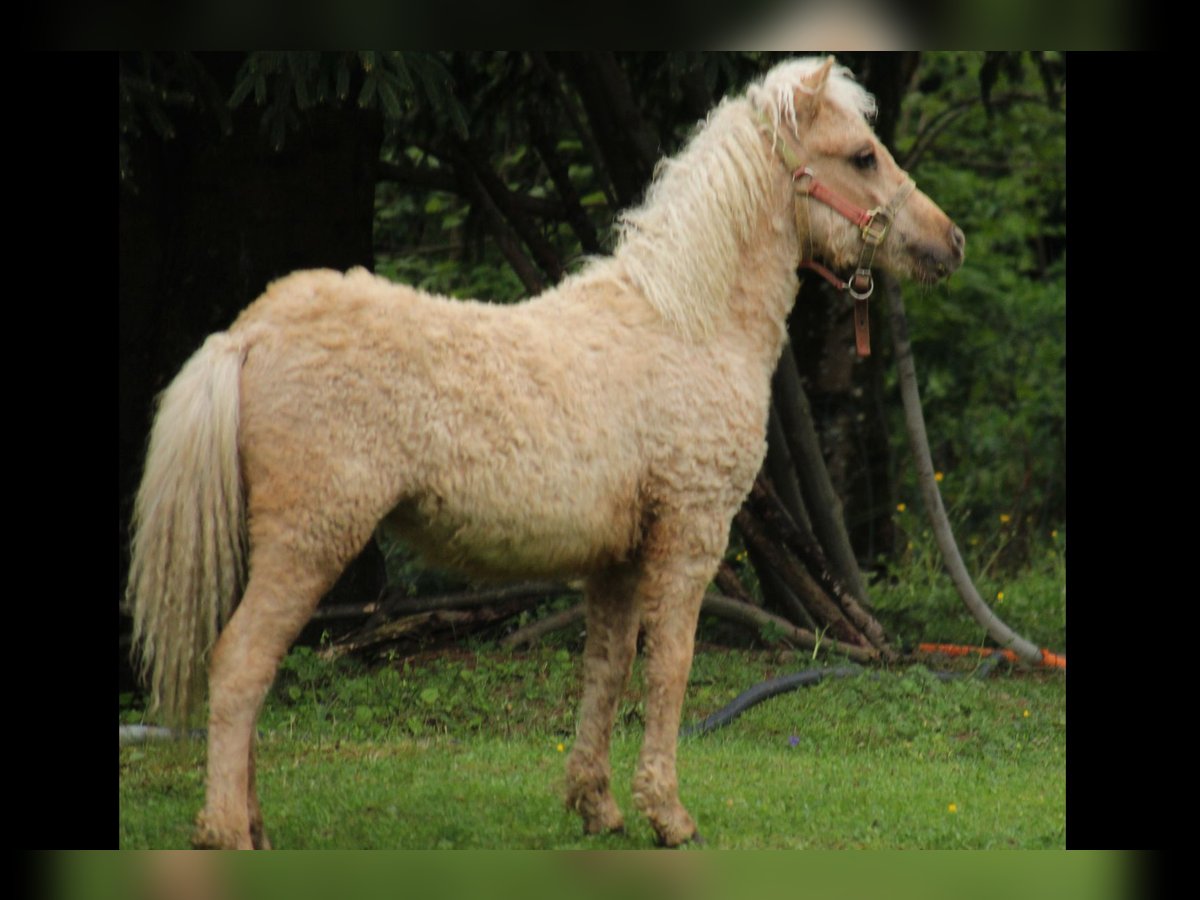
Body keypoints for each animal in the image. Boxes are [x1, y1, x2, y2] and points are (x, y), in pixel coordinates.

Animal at [124, 58, 964, 854]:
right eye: (861, 155)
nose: (948, 241)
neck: (686, 323)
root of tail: (248, 334)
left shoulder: (617, 560)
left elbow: (608, 668)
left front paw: (598, 806)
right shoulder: (690, 536)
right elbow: (671, 666)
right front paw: (669, 815)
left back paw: (255, 825)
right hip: (310, 540)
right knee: (239, 666)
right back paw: (226, 831)